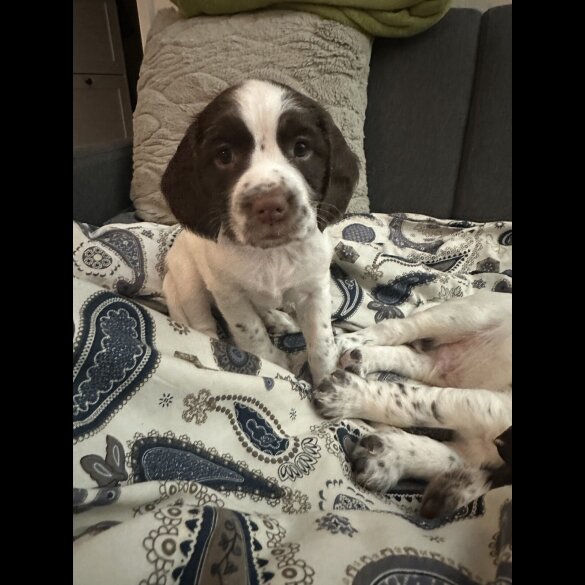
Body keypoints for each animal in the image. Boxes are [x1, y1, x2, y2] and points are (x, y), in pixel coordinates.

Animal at [162, 81, 358, 384]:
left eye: (301, 148)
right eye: (224, 155)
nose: (269, 206)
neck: (272, 255)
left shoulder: (315, 288)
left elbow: (321, 343)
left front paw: (328, 380)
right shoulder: (230, 294)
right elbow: (252, 334)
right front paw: (274, 363)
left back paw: (278, 319)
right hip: (188, 281)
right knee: (202, 324)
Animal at [310, 290, 512, 516]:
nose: (432, 511)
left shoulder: (483, 450)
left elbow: (450, 458)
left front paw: (387, 458)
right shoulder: (487, 404)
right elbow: (412, 403)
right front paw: (349, 396)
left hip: (444, 366)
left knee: (416, 358)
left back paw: (361, 357)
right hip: (464, 316)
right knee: (399, 327)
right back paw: (349, 342)